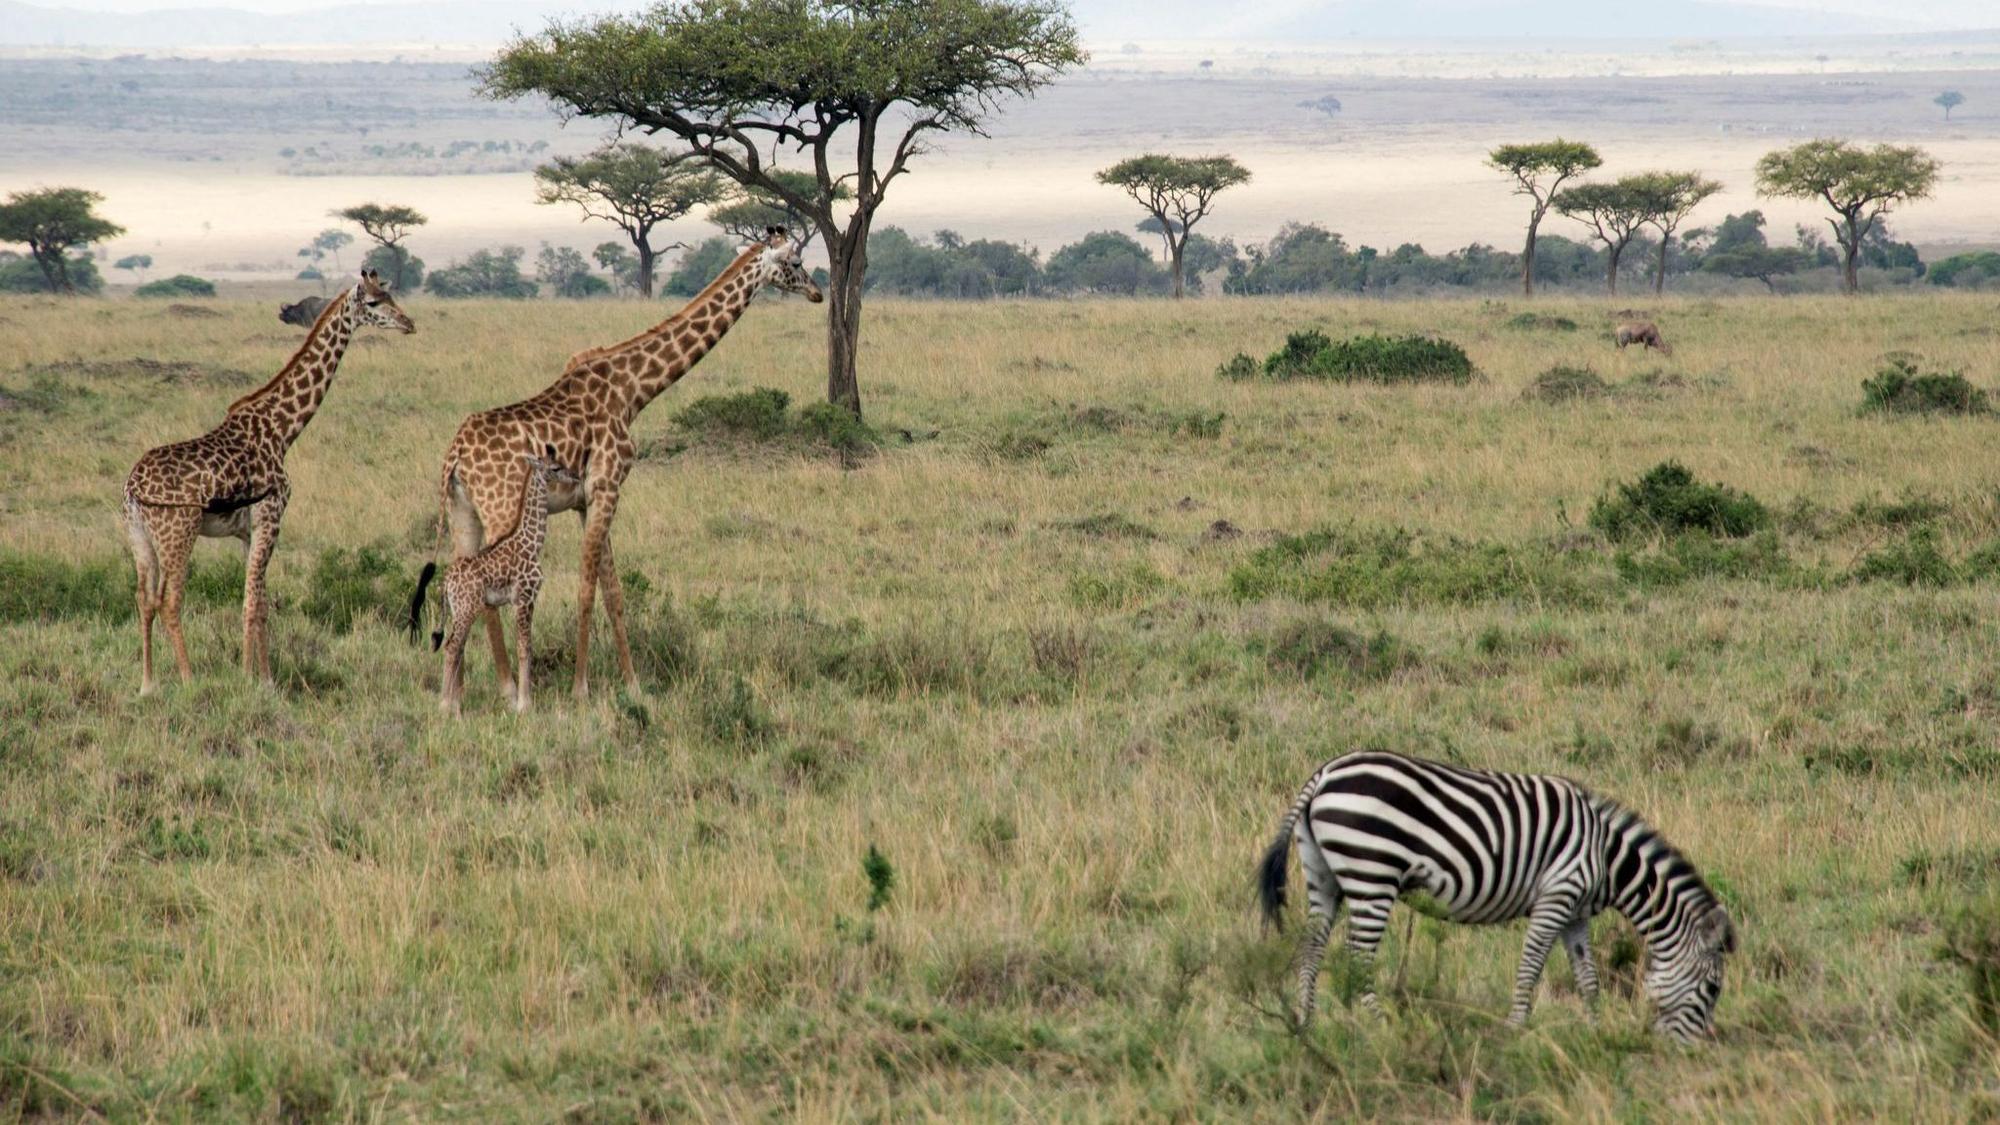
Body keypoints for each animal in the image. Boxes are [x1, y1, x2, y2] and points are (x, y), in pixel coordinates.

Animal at [1257, 749, 1735, 1041]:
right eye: (1712, 989)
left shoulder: (1575, 913)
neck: (1605, 855)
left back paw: (1305, 1024)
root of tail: (1324, 774)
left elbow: (1588, 978)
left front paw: (1595, 1031)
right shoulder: (1557, 895)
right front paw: (1516, 1029)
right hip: (1371, 873)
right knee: (1358, 960)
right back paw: (1383, 1027)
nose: (1689, 1052)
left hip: (1324, 875)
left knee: (1312, 948)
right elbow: (1531, 967)